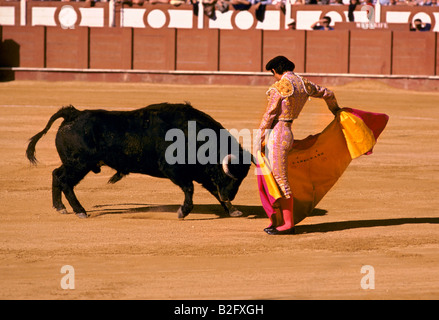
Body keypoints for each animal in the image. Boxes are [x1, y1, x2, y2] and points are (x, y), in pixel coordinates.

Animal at [26, 102, 251, 218]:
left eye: (242, 178)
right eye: (230, 176)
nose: (229, 195)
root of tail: (74, 113)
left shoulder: (201, 174)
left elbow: (211, 190)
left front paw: (233, 210)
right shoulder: (174, 170)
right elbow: (189, 189)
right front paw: (183, 211)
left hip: (73, 164)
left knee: (56, 174)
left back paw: (60, 207)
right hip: (79, 164)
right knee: (65, 181)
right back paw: (80, 211)